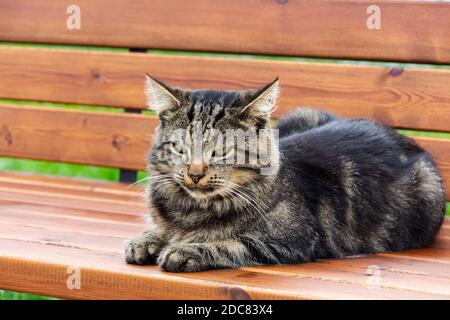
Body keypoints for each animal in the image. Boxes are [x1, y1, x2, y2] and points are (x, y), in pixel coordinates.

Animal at [124, 75, 446, 272]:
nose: (194, 173)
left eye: (222, 151)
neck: (190, 210)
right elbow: (160, 230)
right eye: (180, 148)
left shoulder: (292, 241)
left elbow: (229, 243)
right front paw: (145, 241)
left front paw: (185, 250)